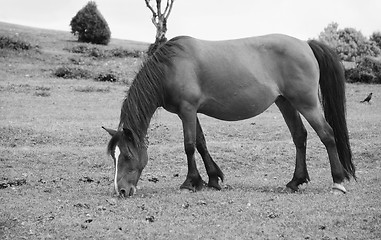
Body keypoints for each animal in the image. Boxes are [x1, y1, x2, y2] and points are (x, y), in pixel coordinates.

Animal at [102, 34, 354, 199]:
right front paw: (213, 179)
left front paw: (190, 182)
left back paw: (338, 182)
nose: (121, 191)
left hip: (306, 103)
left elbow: (189, 145)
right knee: (300, 137)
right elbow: (201, 143)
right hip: (286, 102)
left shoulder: (187, 110)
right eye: (114, 157)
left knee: (327, 135)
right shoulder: (192, 112)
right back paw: (295, 181)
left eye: (126, 156)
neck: (170, 67)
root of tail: (305, 44)